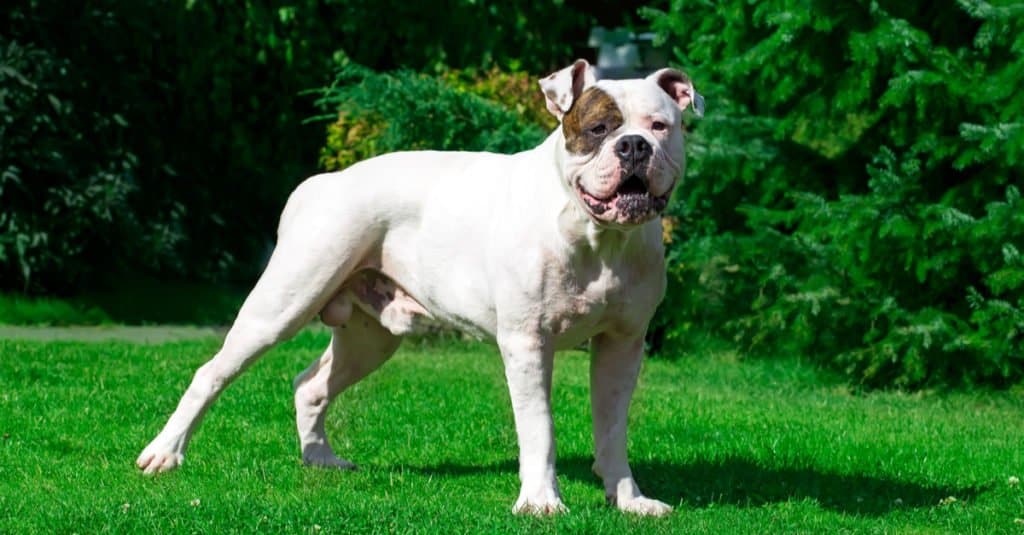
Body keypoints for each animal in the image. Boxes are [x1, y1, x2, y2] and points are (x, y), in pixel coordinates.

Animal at [138, 60, 704, 514]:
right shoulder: (527, 343)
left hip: (371, 338)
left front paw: (628, 499)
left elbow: (612, 429)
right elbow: (539, 427)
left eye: (661, 126)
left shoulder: (622, 347)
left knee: (311, 384)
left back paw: (320, 459)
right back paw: (165, 453)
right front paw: (542, 501)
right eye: (598, 128)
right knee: (212, 372)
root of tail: (324, 181)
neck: (598, 236)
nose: (634, 146)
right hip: (281, 305)